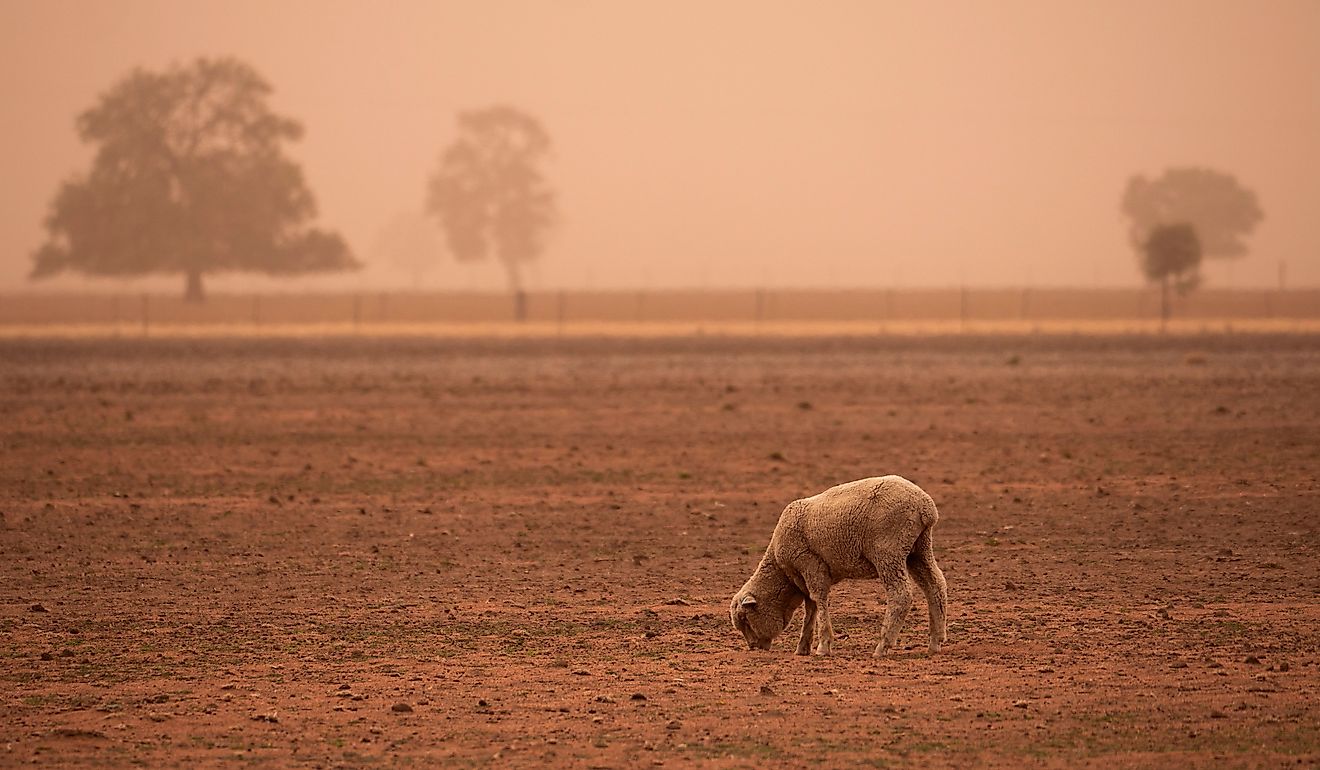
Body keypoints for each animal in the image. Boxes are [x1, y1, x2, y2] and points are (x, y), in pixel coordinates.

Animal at [729, 475, 947, 656]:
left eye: (746, 619)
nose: (753, 647)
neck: (782, 572)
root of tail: (925, 506)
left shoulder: (810, 563)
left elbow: (819, 599)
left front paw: (823, 646)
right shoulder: (804, 577)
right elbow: (811, 607)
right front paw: (803, 648)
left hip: (888, 551)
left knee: (901, 595)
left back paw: (882, 646)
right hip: (918, 549)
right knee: (935, 586)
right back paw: (935, 642)